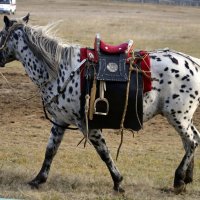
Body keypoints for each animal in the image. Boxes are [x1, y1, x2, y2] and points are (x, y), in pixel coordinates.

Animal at [0, 14, 200, 195]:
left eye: (1, 34)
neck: (60, 70)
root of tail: (194, 63)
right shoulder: (60, 120)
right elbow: (50, 150)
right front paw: (38, 179)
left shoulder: (86, 124)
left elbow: (103, 152)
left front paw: (118, 182)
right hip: (184, 117)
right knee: (192, 140)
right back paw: (187, 178)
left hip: (177, 116)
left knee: (191, 142)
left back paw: (179, 179)